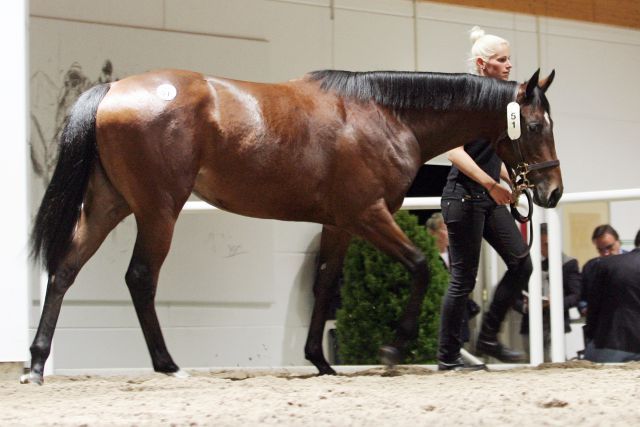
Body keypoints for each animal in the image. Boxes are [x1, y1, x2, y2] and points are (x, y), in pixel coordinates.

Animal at [21, 67, 560, 384]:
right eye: (536, 126)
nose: (551, 192)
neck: (384, 113)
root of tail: (113, 90)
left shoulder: (339, 224)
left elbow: (324, 285)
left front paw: (319, 360)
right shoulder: (368, 214)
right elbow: (421, 266)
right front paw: (392, 349)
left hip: (108, 205)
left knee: (64, 269)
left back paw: (36, 363)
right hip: (158, 210)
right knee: (139, 278)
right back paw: (168, 365)